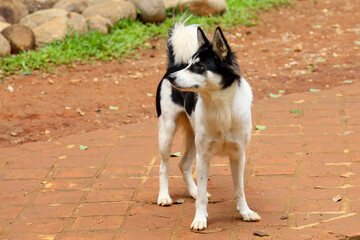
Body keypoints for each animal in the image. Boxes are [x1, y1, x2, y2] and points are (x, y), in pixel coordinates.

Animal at [156, 16, 260, 231]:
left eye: (199, 67)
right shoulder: (204, 156)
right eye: (189, 65)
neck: (220, 105)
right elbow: (203, 196)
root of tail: (172, 65)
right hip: (166, 132)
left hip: (192, 137)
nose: (171, 78)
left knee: (183, 164)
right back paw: (164, 196)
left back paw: (192, 191)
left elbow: (239, 189)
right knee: (164, 166)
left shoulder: (238, 154)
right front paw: (200, 219)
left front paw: (245, 212)